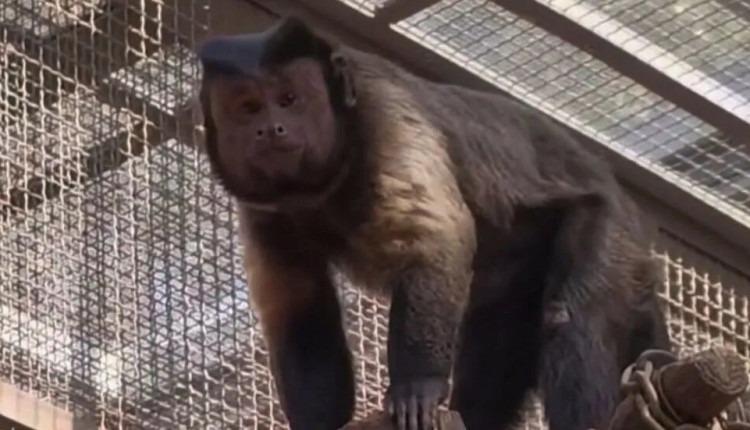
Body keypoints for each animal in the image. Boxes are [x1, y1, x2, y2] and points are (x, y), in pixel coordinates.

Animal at [196, 16, 672, 430]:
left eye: (288, 100)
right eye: (248, 108)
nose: (270, 128)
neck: (322, 192)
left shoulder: (384, 113)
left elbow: (432, 241)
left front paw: (416, 389)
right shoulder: (264, 212)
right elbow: (298, 304)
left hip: (612, 226)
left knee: (570, 316)